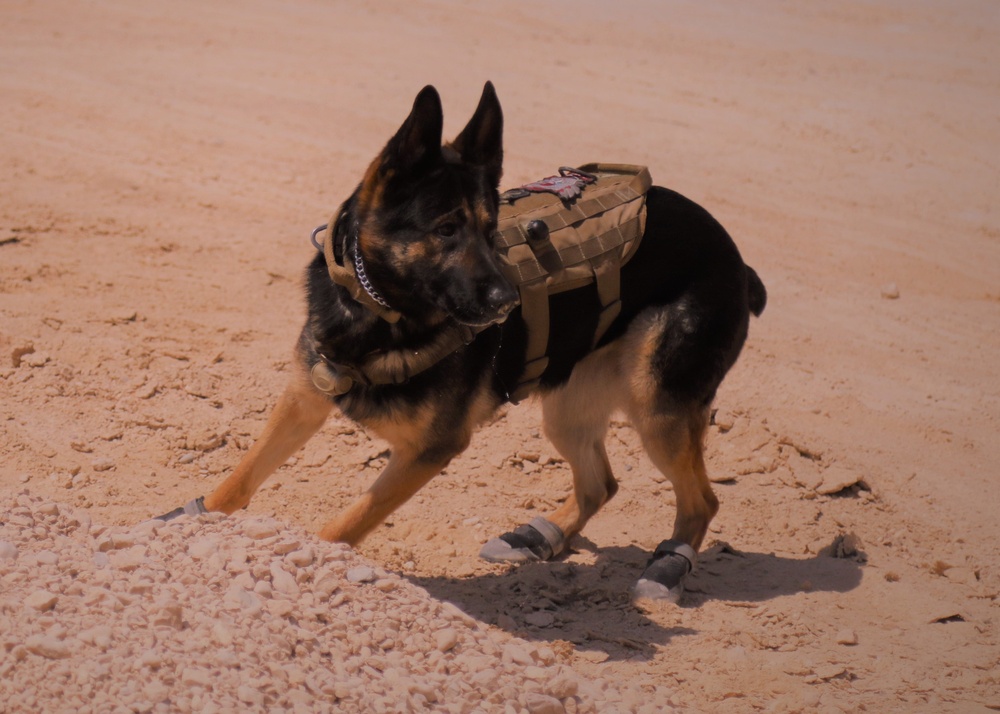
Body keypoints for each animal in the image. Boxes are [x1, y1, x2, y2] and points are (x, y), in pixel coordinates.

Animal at [162, 80, 764, 596]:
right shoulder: (305, 398)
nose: (507, 303)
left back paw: (667, 567)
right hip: (569, 406)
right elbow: (241, 478)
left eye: (490, 230)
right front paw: (193, 522)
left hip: (655, 407)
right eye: (447, 229)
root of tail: (737, 258)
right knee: (602, 483)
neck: (379, 314)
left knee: (702, 500)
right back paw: (538, 537)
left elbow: (345, 524)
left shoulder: (430, 450)